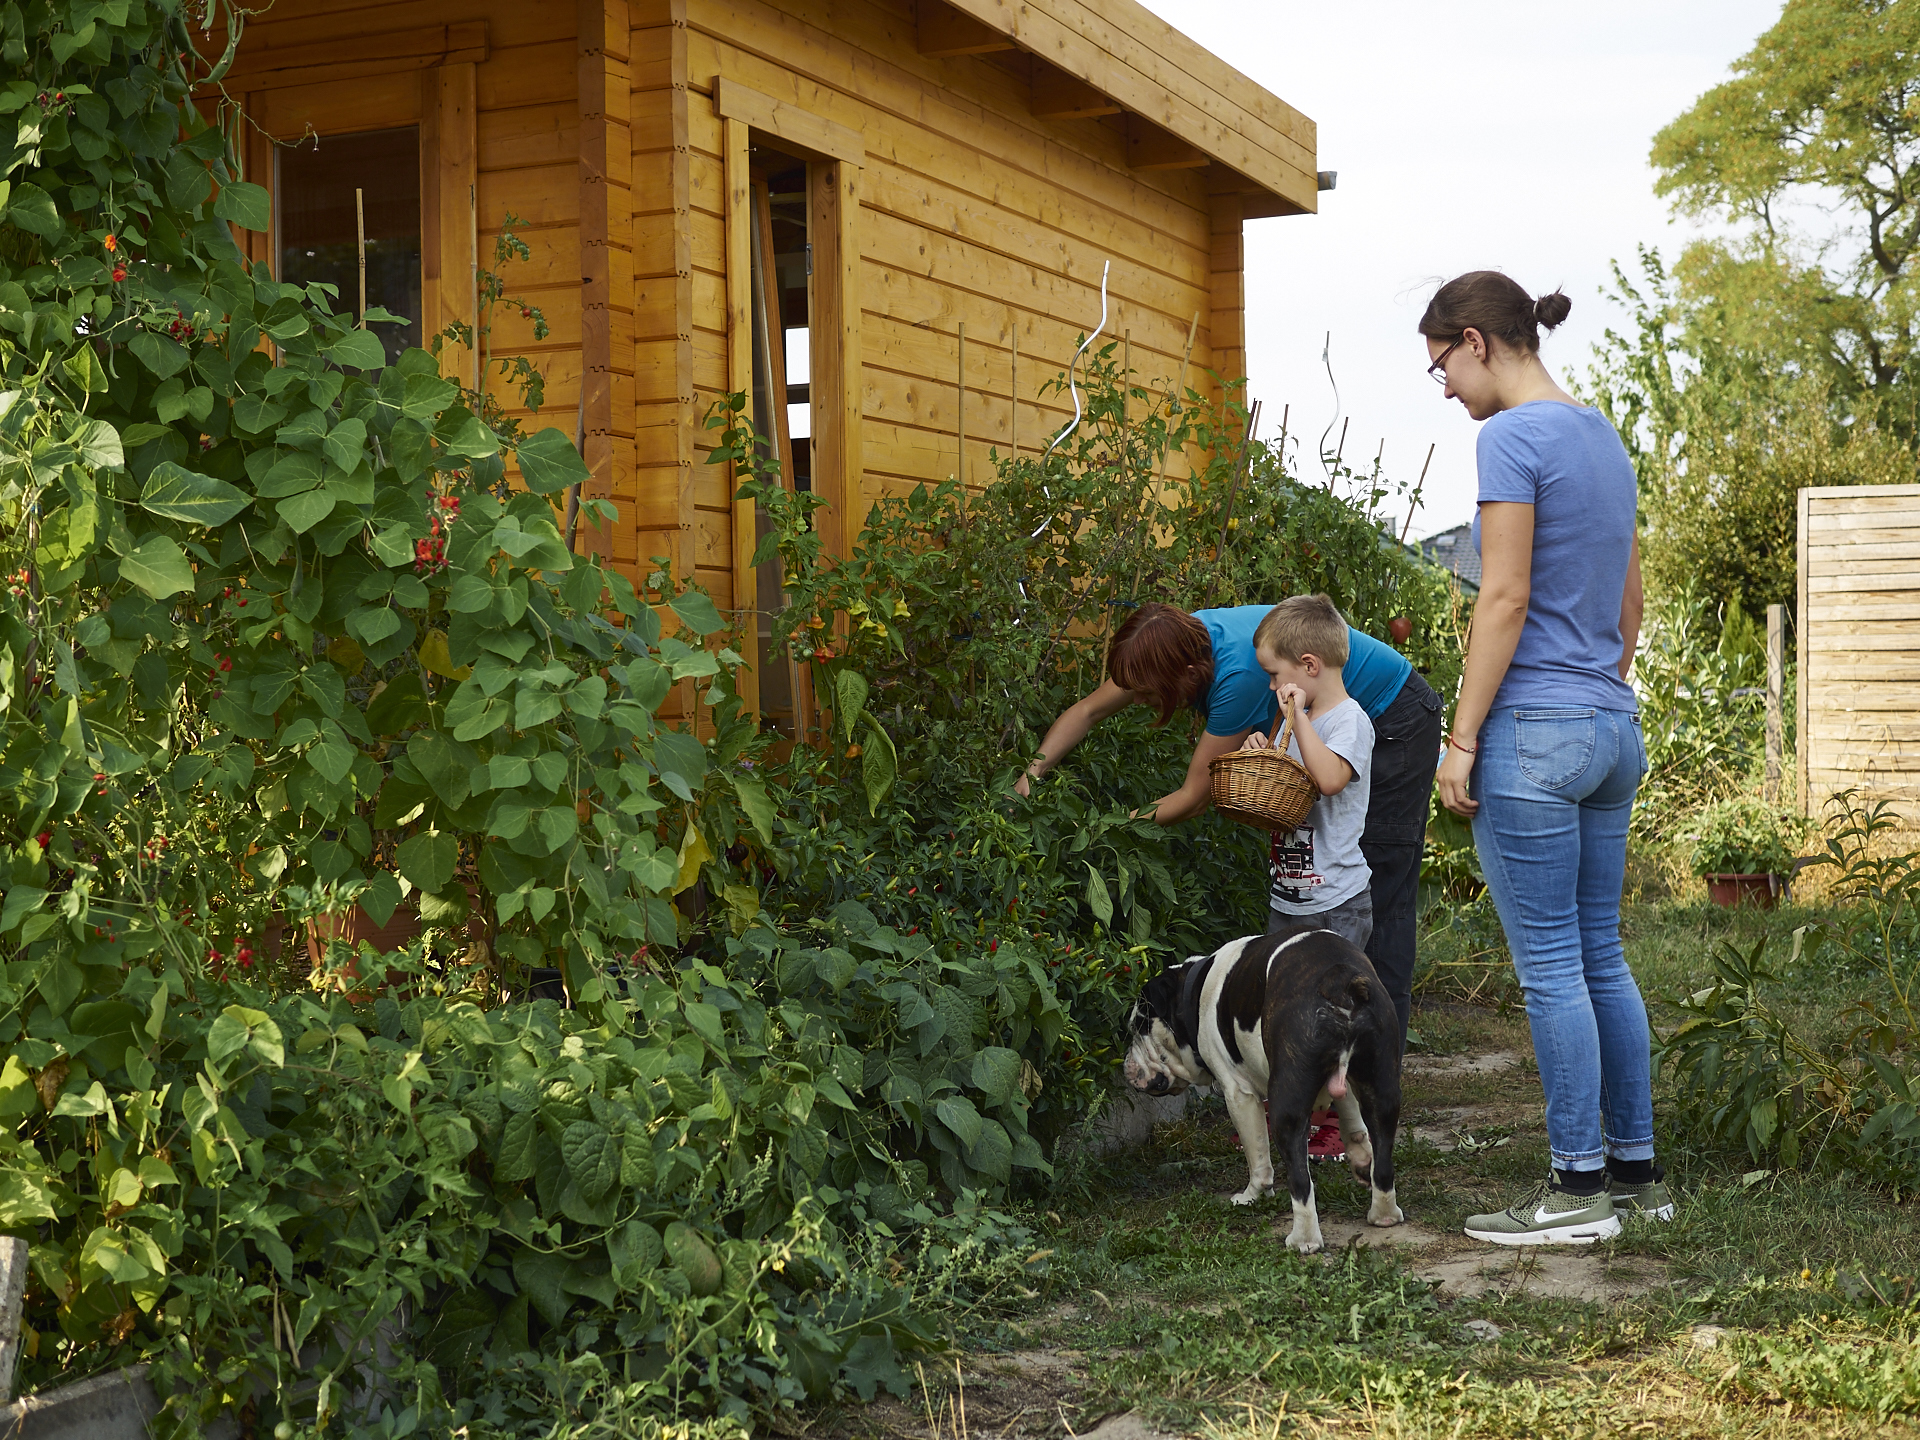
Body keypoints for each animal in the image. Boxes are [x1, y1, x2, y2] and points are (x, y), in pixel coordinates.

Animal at [1121, 929, 1405, 1259]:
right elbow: (1351, 1117)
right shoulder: (1345, 1081)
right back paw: (1384, 1213)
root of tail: (1337, 981)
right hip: (1382, 1084)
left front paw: (1251, 1195)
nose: (1126, 1063)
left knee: (1299, 1179)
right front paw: (1361, 1160)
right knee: (1383, 1151)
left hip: (1286, 1105)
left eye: (1138, 1026)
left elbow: (1257, 1155)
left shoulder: (1238, 1094)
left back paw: (1303, 1239)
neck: (1192, 994)